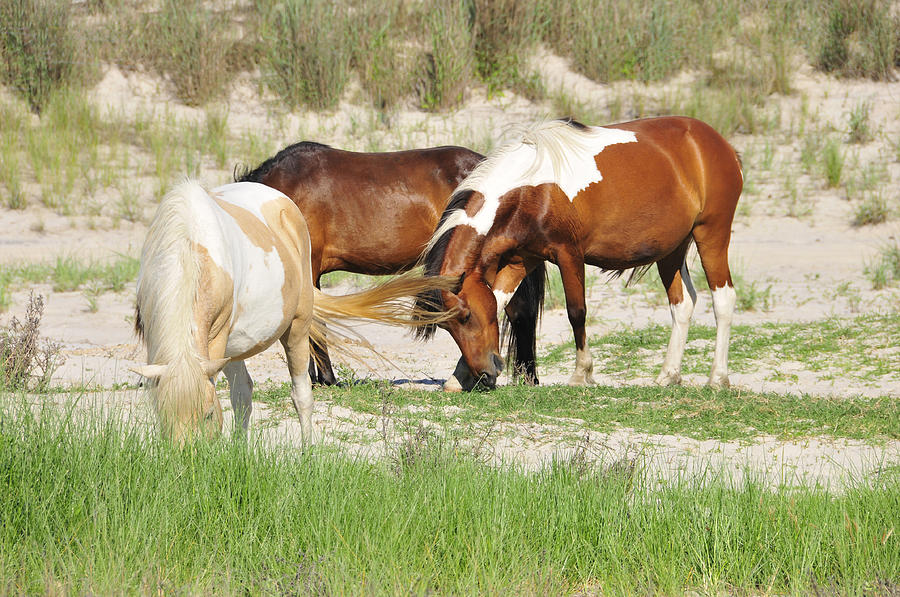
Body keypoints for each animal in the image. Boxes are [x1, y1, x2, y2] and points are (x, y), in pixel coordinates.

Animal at [130, 179, 454, 440]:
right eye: (162, 416)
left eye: (208, 414)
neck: (189, 251)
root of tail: (283, 201)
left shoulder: (215, 340)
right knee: (243, 394)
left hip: (296, 329)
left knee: (301, 395)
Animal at [414, 116, 744, 388]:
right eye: (446, 325)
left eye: (466, 317)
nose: (485, 372)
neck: (531, 189)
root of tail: (721, 145)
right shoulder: (521, 261)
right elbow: (496, 303)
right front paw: (458, 376)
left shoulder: (569, 254)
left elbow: (577, 312)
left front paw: (582, 373)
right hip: (671, 250)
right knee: (683, 304)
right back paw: (669, 374)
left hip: (711, 234)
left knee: (723, 300)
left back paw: (718, 378)